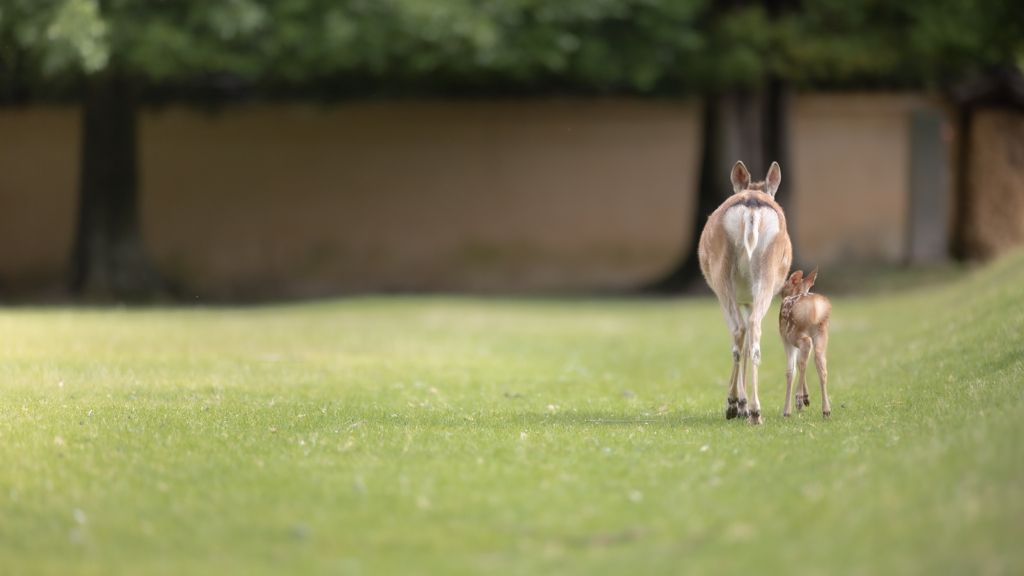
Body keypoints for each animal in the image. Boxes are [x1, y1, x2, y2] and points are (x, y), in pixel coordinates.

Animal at [700, 159, 794, 422]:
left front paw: (737, 402)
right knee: (753, 329)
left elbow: (738, 341)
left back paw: (735, 405)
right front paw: (743, 404)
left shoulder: (732, 298)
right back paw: (754, 410)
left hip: (721, 275)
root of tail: (752, 205)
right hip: (765, 274)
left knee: (739, 330)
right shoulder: (749, 300)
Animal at [778, 266, 835, 420]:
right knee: (820, 361)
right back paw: (826, 410)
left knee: (806, 347)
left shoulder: (784, 337)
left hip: (794, 331)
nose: (781, 293)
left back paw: (797, 400)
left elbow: (790, 371)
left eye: (785, 286)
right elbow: (798, 363)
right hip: (822, 331)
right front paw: (807, 398)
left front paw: (788, 410)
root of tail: (814, 306)